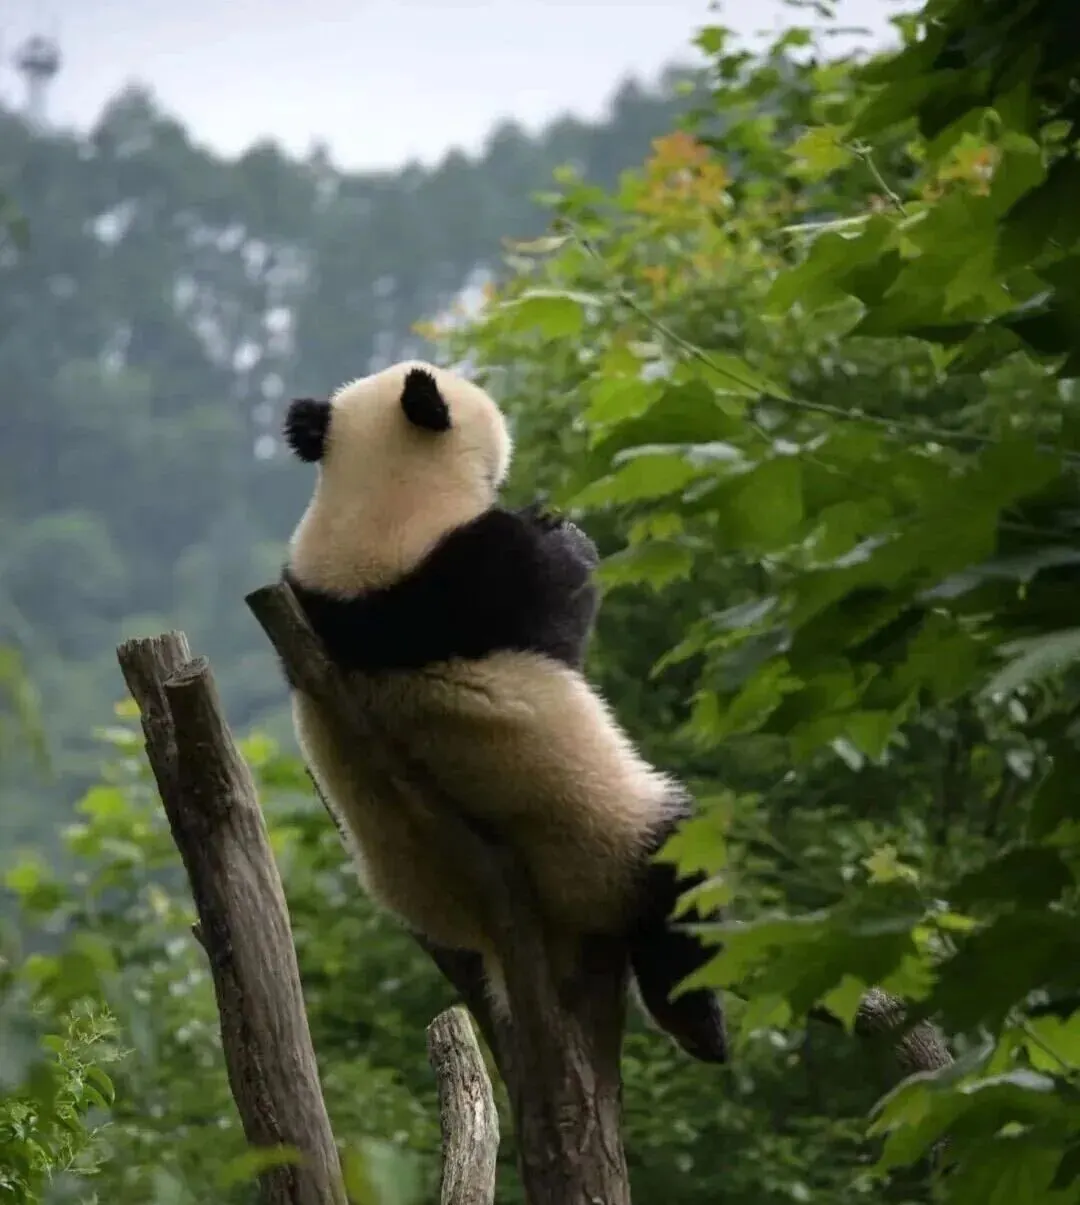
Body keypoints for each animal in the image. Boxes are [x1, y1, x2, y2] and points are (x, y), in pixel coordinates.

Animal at [281, 358, 727, 1064]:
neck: (373, 502)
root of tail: (489, 934)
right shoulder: (475, 572)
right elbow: (561, 610)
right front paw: (566, 535)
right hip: (587, 839)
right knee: (675, 868)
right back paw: (698, 1022)